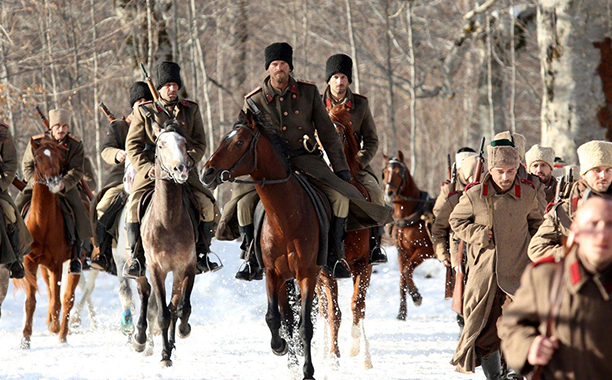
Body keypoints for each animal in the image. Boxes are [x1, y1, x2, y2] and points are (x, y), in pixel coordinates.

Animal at [19, 137, 80, 348]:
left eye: (58, 158)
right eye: (37, 159)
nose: (54, 182)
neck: (42, 222)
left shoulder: (56, 265)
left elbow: (58, 301)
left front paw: (54, 327)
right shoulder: (30, 263)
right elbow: (30, 302)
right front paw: (25, 339)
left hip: (72, 265)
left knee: (67, 298)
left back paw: (61, 334)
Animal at [204, 109, 320, 380]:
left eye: (239, 142)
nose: (207, 173)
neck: (286, 219)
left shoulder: (307, 274)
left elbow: (306, 325)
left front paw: (308, 370)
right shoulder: (272, 273)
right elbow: (273, 318)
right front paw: (281, 347)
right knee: (287, 318)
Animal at [382, 151, 436, 320]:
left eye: (400, 173)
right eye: (384, 172)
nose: (389, 193)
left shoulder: (425, 250)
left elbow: (407, 270)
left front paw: (416, 296)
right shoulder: (402, 252)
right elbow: (402, 279)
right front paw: (402, 312)